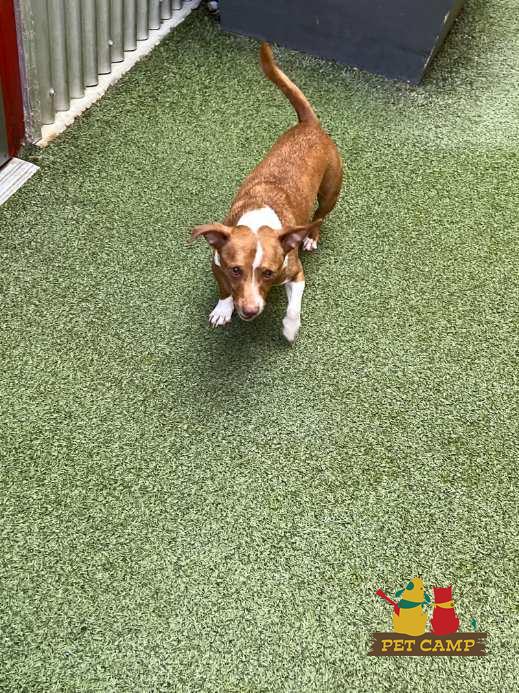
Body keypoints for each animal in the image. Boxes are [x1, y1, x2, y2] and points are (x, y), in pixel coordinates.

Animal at [191, 43, 343, 342]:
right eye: (235, 270)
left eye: (269, 273)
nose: (250, 311)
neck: (258, 218)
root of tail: (310, 124)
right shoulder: (216, 262)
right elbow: (224, 289)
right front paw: (223, 309)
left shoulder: (296, 273)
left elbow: (294, 307)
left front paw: (290, 328)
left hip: (330, 192)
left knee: (319, 216)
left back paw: (311, 236)